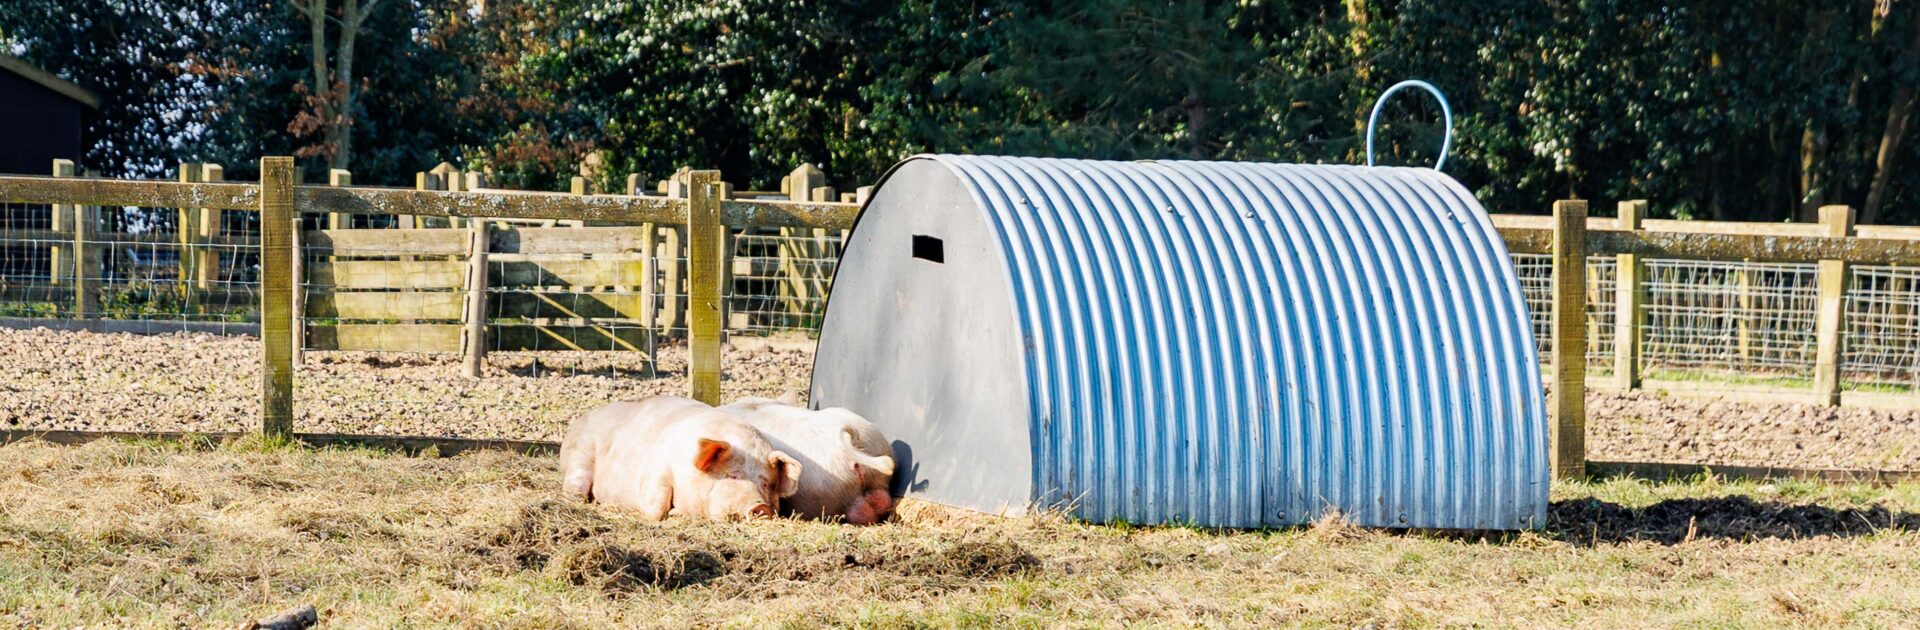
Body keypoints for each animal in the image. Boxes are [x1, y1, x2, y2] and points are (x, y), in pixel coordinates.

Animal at [559, 396, 802, 521]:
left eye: (765, 482)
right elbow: (657, 507)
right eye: (732, 476)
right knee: (576, 483)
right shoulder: (658, 467)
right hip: (581, 451)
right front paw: (670, 513)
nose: (760, 507)